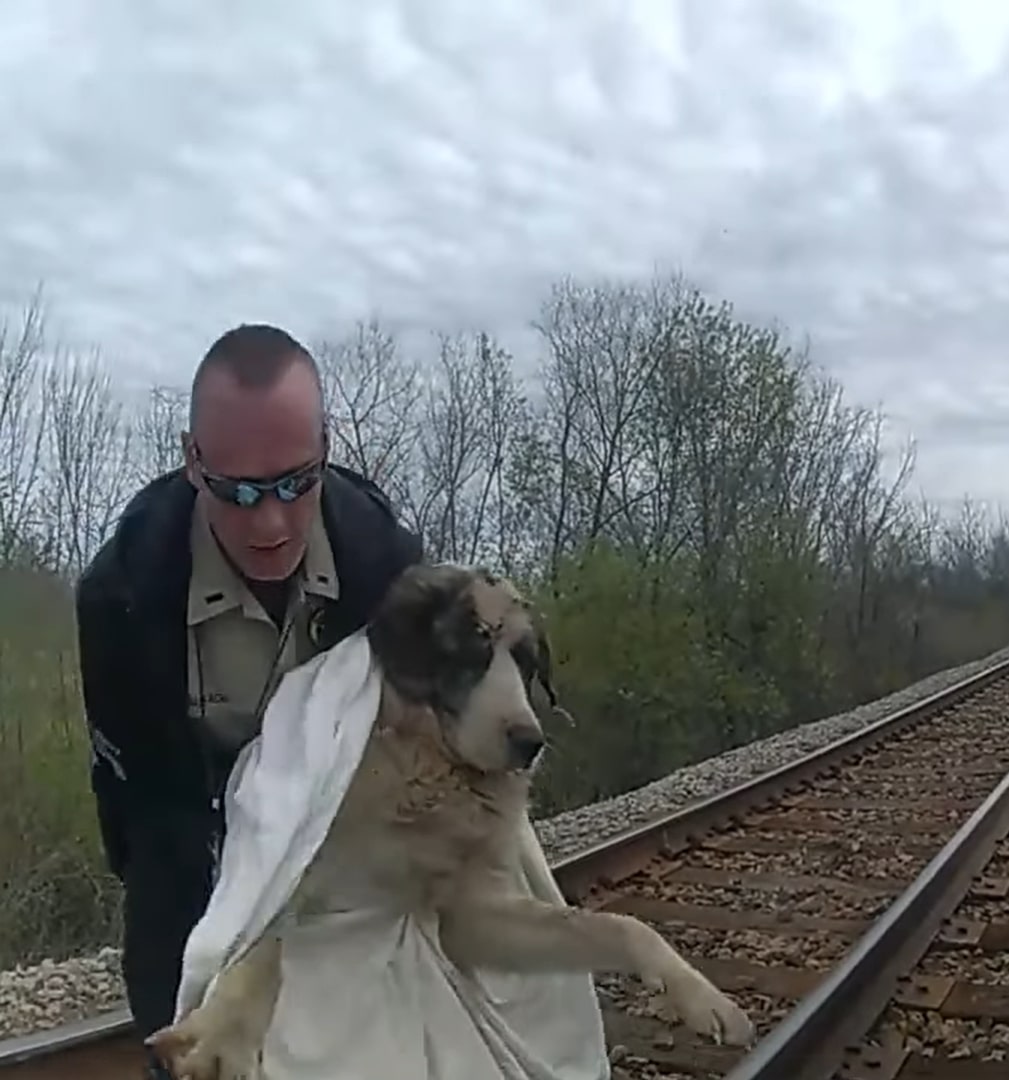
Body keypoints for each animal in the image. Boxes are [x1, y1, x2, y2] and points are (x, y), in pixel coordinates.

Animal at [148, 565, 751, 1080]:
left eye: (525, 663)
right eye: (470, 651)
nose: (529, 742)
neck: (427, 774)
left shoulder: (468, 916)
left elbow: (617, 926)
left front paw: (704, 999)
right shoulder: (303, 872)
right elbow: (262, 944)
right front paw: (219, 1040)